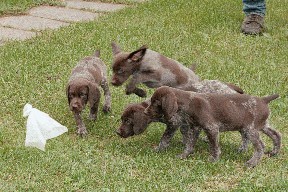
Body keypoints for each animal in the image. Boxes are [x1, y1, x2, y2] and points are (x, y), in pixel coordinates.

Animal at [145, 86, 280, 167]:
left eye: (155, 102)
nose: (145, 112)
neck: (189, 102)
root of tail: (264, 100)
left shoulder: (212, 128)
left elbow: (214, 147)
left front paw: (214, 159)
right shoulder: (195, 128)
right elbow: (189, 144)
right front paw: (184, 155)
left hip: (250, 129)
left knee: (260, 147)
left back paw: (252, 162)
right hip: (261, 126)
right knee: (276, 135)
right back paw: (274, 152)